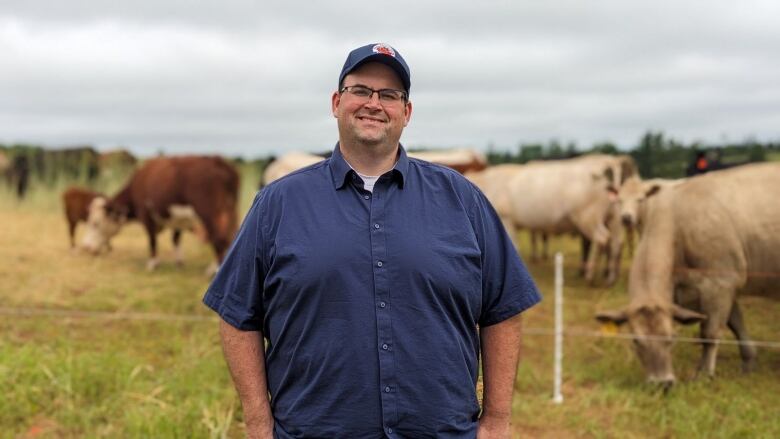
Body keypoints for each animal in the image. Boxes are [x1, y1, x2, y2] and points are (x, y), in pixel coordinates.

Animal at [596, 163, 780, 386]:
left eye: (672, 338)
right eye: (635, 341)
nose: (661, 383)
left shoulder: (721, 282)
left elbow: (709, 333)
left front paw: (704, 374)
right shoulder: (722, 287)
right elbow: (736, 322)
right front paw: (748, 362)